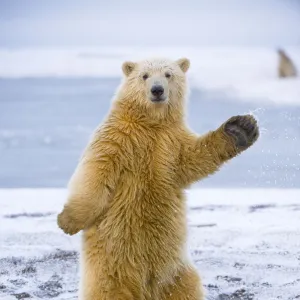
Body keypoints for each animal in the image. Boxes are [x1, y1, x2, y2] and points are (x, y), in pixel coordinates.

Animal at [57, 57, 258, 298]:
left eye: (168, 74)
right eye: (144, 75)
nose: (157, 90)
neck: (151, 123)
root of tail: (147, 287)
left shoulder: (171, 141)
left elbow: (193, 159)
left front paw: (241, 128)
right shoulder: (117, 137)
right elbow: (96, 173)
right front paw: (67, 221)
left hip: (175, 271)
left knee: (186, 287)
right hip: (113, 262)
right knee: (110, 290)